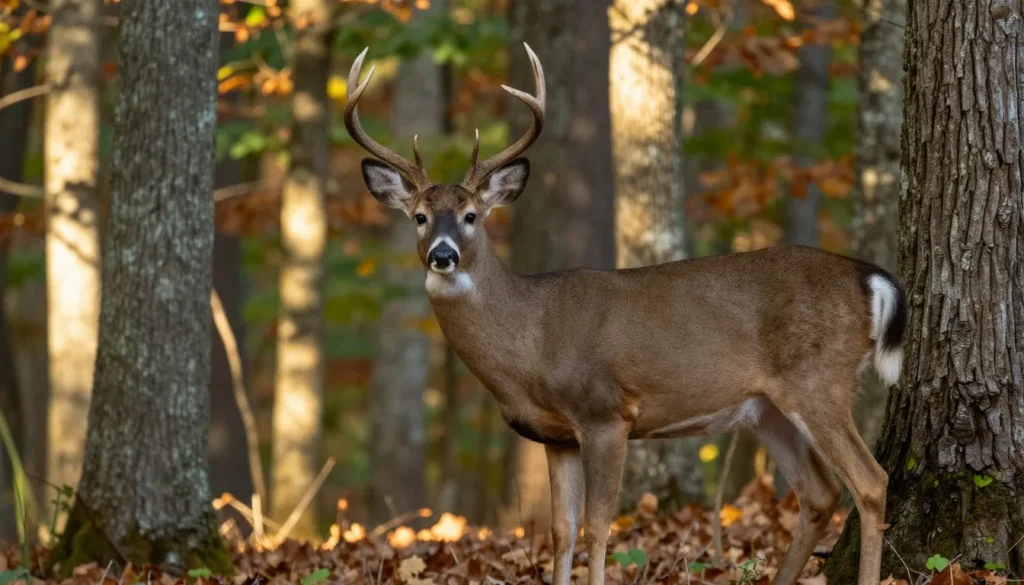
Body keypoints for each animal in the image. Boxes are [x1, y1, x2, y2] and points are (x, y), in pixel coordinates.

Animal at [345, 44, 907, 585]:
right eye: (419, 217)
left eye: (471, 216)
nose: (443, 255)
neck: (533, 339)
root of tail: (869, 277)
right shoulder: (556, 436)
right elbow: (562, 531)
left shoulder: (607, 413)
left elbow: (598, 527)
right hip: (766, 406)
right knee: (820, 492)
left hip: (819, 378)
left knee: (870, 480)